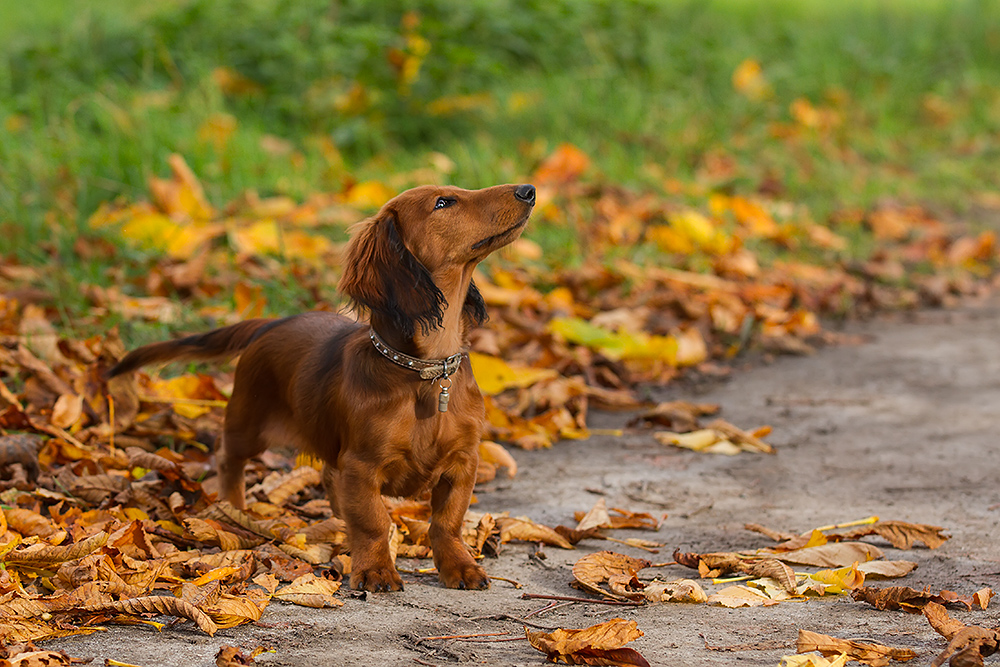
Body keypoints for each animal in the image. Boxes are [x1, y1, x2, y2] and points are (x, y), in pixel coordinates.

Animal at [105, 183, 536, 588]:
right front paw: (376, 570)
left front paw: (460, 567)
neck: (426, 371)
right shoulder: (362, 464)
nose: (528, 190)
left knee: (328, 478)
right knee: (229, 458)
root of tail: (270, 324)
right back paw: (234, 509)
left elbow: (447, 522)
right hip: (249, 423)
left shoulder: (463, 463)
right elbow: (374, 521)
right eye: (443, 203)